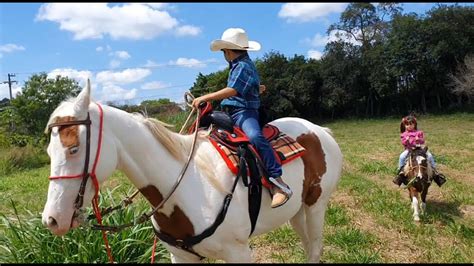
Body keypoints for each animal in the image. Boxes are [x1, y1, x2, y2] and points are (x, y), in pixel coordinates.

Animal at [40, 80, 342, 262]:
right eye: (49, 152)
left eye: (74, 148)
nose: (52, 220)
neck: (185, 189)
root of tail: (320, 130)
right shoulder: (181, 256)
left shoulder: (239, 252)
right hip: (298, 211)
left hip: (317, 205)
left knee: (315, 247)